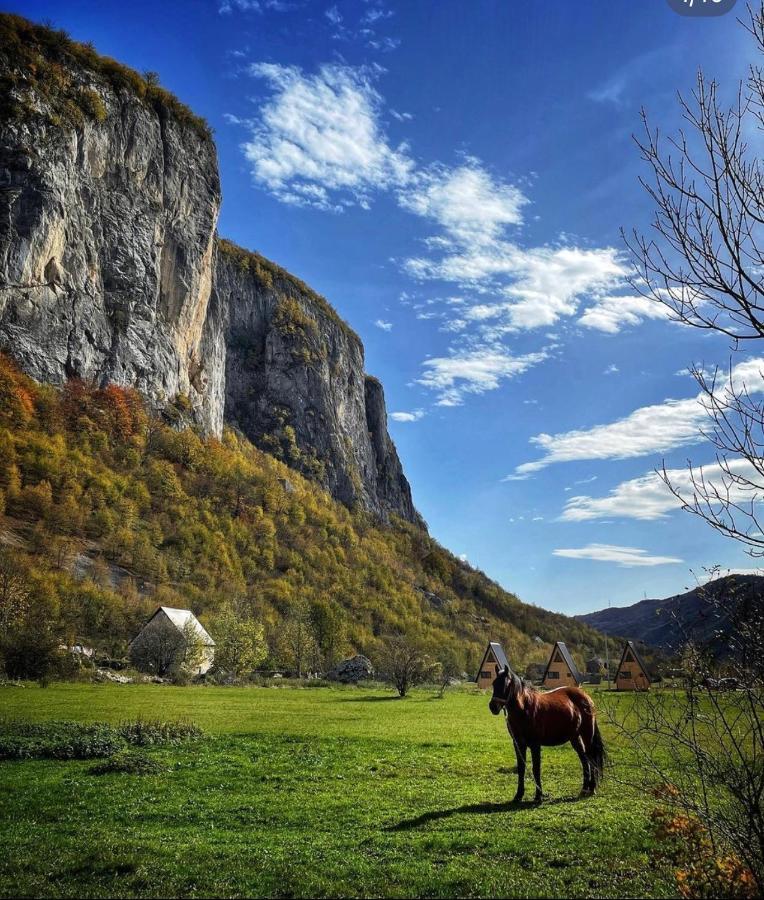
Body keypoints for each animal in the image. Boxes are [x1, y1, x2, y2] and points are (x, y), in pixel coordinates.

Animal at [490, 664, 608, 804]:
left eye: (505, 684)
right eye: (494, 683)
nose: (493, 706)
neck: (525, 708)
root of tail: (586, 697)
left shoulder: (535, 745)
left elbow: (536, 769)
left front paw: (538, 796)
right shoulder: (518, 744)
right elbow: (521, 768)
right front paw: (518, 796)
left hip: (587, 735)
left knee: (591, 759)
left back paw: (592, 788)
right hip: (575, 738)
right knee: (584, 760)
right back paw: (584, 789)